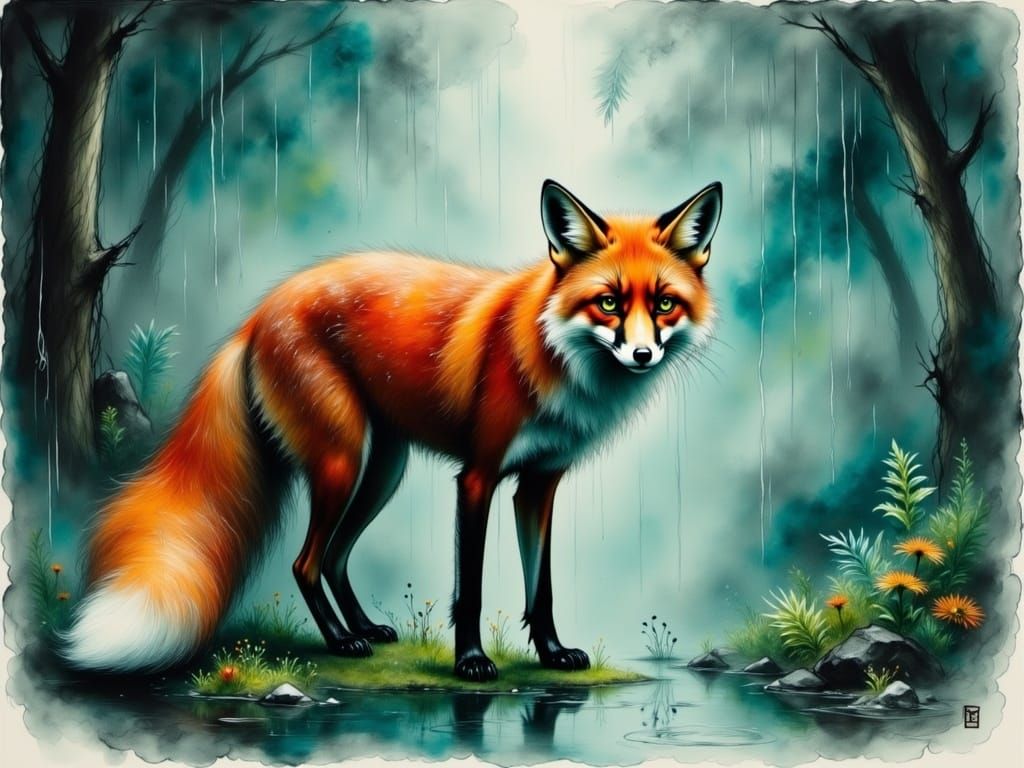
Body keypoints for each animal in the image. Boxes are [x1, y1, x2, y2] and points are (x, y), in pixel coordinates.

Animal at [63, 179, 722, 681]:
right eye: (608, 303)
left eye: (664, 304)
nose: (642, 354)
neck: (552, 358)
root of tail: (258, 313)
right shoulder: (478, 477)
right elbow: (470, 588)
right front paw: (472, 662)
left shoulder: (539, 483)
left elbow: (543, 587)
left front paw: (553, 653)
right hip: (342, 462)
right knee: (305, 563)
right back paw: (340, 641)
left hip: (383, 471)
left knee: (333, 558)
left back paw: (363, 628)